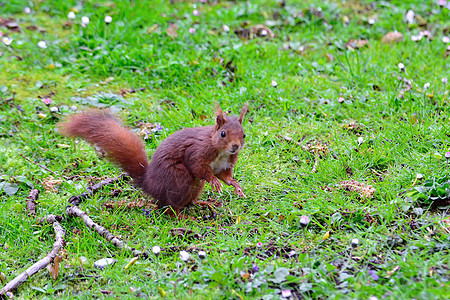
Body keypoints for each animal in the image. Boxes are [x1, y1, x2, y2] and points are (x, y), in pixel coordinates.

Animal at [58, 103, 248, 218]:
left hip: (194, 186)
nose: (235, 146)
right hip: (179, 178)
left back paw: (205, 202)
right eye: (223, 133)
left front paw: (235, 185)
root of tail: (151, 185)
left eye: (244, 134)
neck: (221, 150)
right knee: (170, 207)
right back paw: (181, 216)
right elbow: (198, 166)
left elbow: (226, 176)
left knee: (188, 201)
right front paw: (214, 180)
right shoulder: (197, 150)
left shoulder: (225, 163)